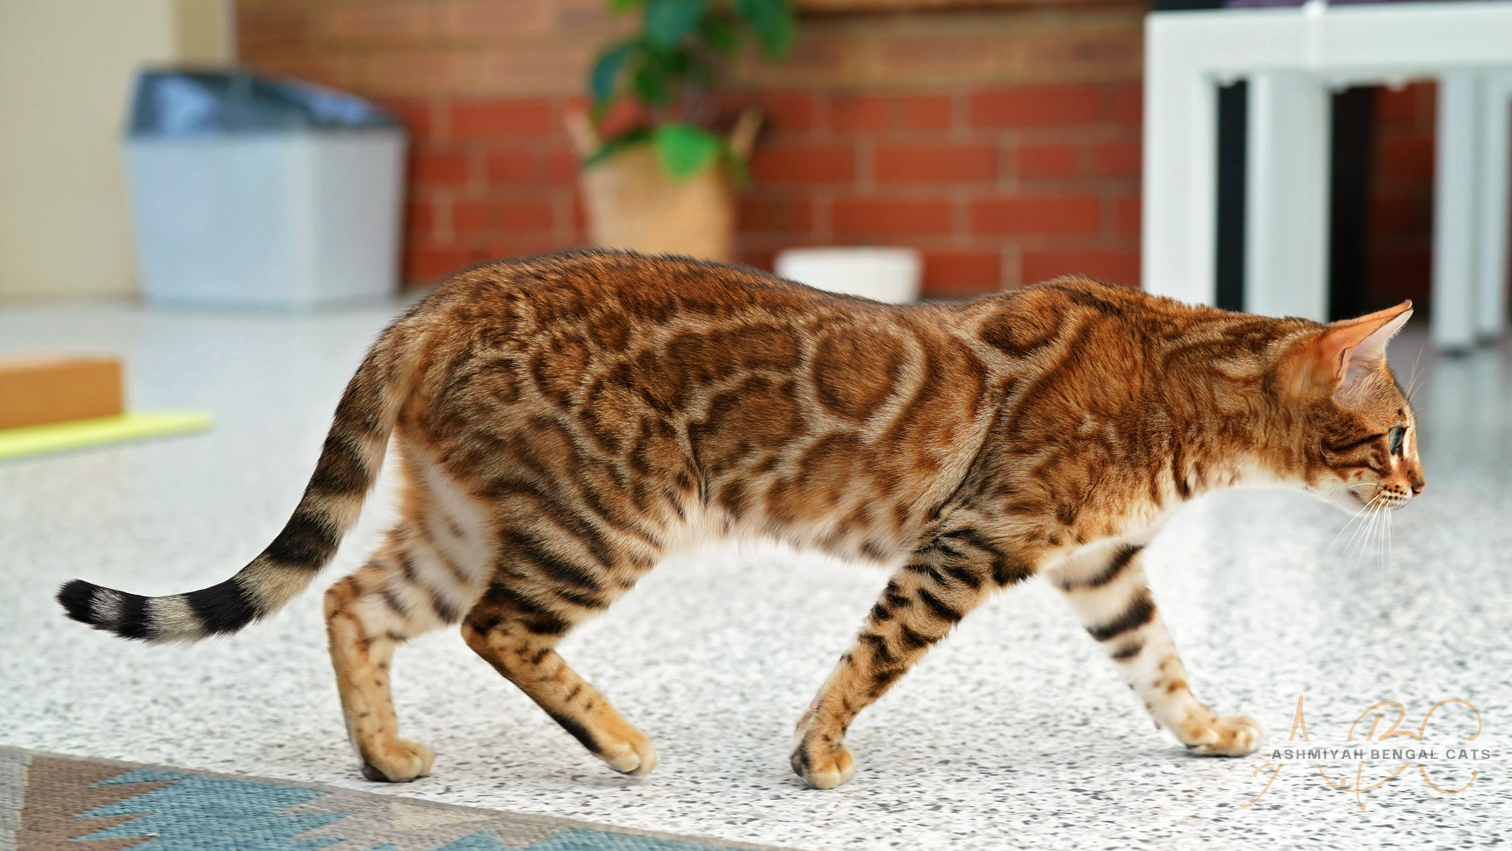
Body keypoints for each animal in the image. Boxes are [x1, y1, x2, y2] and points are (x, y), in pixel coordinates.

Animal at [58, 249, 1421, 792]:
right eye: (1400, 430)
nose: (1422, 485)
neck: (1178, 377)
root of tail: (438, 302)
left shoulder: (1100, 563)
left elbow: (1159, 659)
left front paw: (1208, 728)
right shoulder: (973, 541)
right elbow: (873, 654)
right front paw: (816, 751)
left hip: (463, 519)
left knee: (354, 598)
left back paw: (384, 754)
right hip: (606, 515)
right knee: (497, 625)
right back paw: (616, 740)